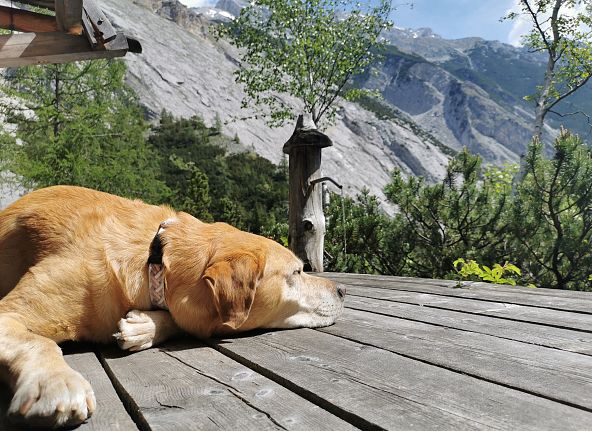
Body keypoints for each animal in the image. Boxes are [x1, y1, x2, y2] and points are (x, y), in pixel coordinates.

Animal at [0, 186, 344, 428]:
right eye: (297, 273)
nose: (342, 290)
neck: (153, 259)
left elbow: (181, 320)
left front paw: (144, 328)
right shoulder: (9, 313)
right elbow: (39, 342)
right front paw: (55, 383)